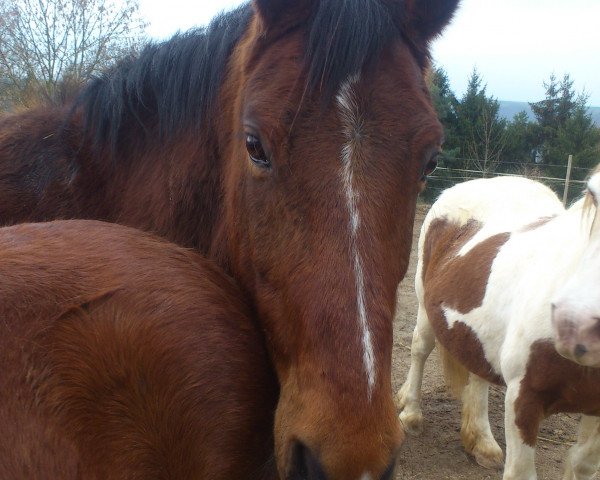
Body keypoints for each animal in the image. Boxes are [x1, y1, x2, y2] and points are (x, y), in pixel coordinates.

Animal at [394, 176, 600, 480]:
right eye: (592, 195)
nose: (577, 328)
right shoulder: (523, 398)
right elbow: (520, 472)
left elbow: (581, 464)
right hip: (424, 306)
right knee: (420, 349)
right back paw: (411, 414)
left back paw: (482, 442)